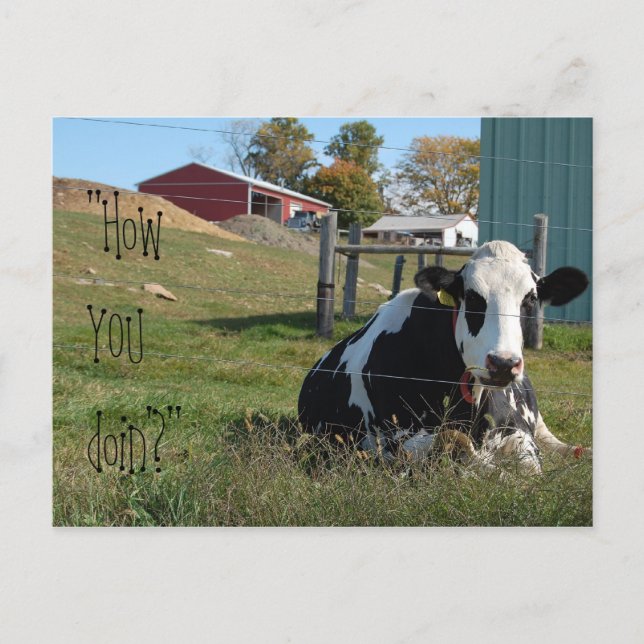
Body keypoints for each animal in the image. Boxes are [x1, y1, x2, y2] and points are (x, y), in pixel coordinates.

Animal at [298, 240, 590, 474]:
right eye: (472, 297)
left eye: (530, 299)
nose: (504, 363)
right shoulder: (392, 439)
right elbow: (470, 454)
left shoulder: (518, 429)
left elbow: (530, 466)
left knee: (551, 438)